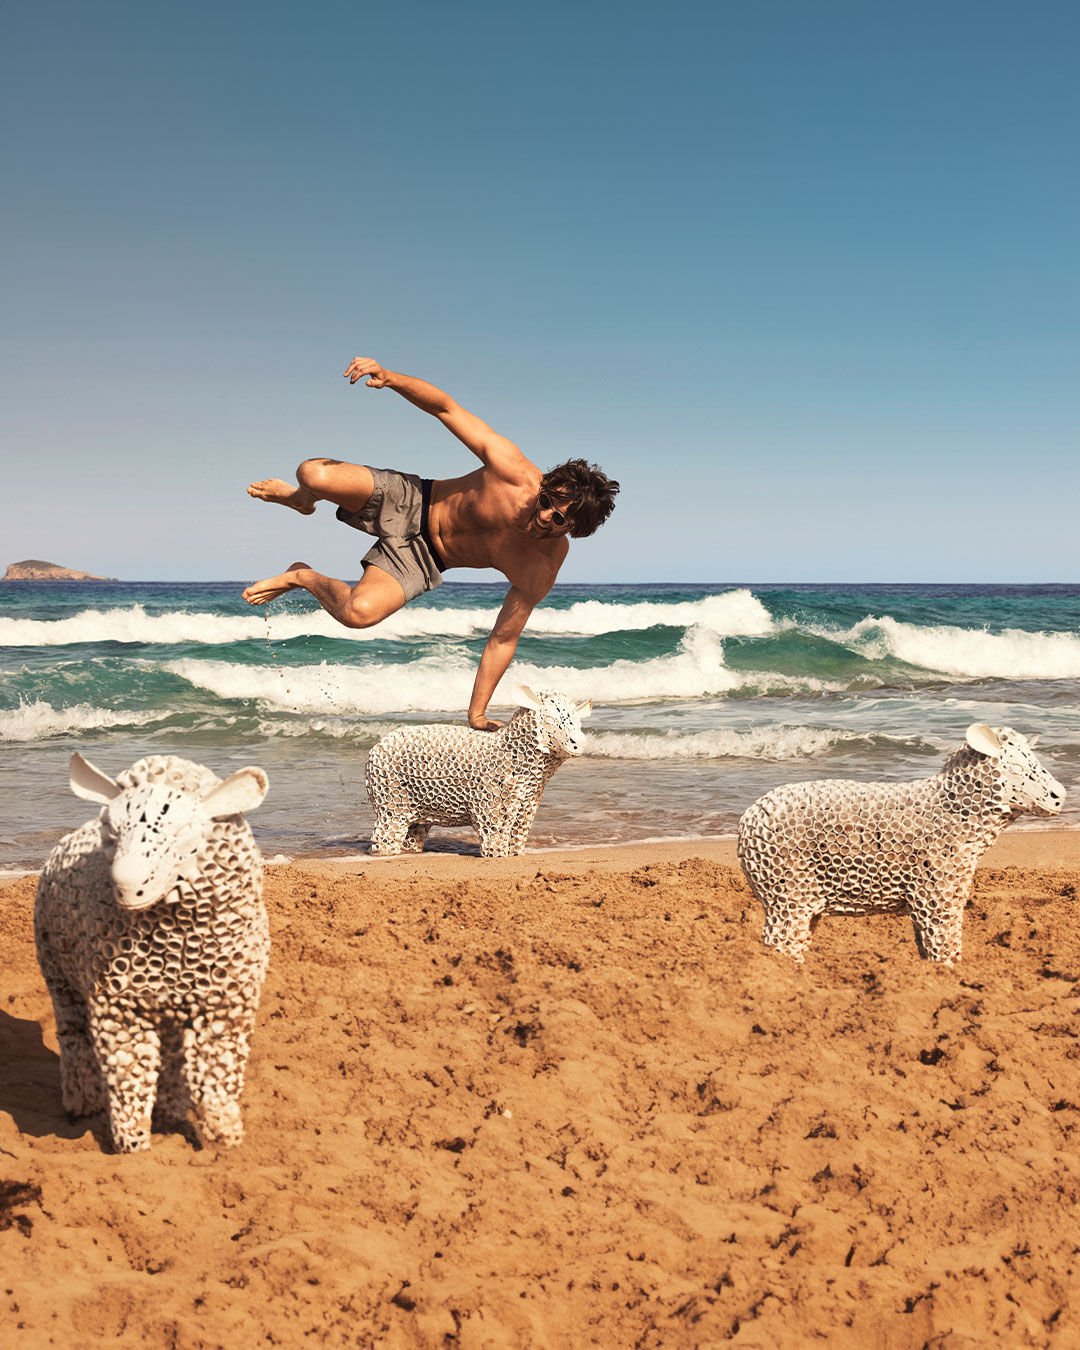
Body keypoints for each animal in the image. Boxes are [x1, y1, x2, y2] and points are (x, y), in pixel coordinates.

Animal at [34, 752, 270, 1153]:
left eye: (183, 830)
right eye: (112, 831)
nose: (128, 885)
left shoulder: (226, 1004)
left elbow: (217, 1076)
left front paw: (227, 1138)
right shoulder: (119, 1008)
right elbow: (129, 1075)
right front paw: (133, 1147)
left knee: (172, 1050)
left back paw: (170, 1111)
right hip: (58, 972)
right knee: (72, 1032)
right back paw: (82, 1102)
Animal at [367, 687, 590, 858]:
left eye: (579, 722)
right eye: (551, 719)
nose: (579, 743)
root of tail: (377, 746)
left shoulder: (527, 806)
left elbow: (517, 836)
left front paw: (516, 855)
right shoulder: (492, 808)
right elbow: (495, 838)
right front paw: (498, 857)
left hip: (417, 808)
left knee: (414, 832)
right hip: (391, 802)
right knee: (384, 834)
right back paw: (385, 853)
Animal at [737, 724, 1065, 966]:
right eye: (1019, 767)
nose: (1059, 795)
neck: (951, 810)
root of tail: (748, 818)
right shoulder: (936, 895)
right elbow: (944, 949)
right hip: (787, 893)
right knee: (780, 943)